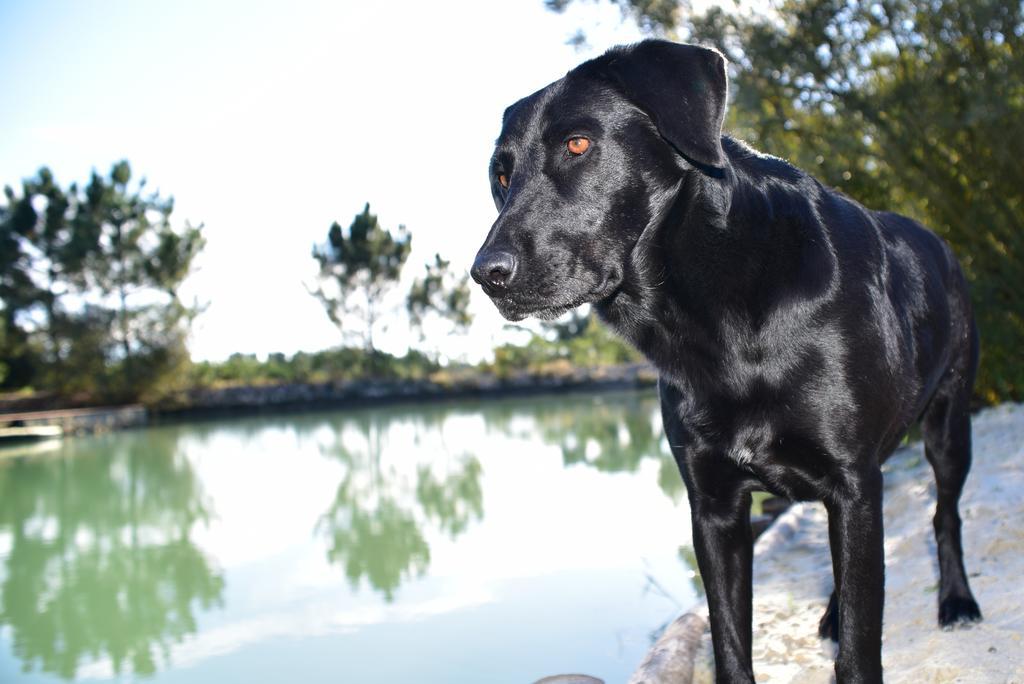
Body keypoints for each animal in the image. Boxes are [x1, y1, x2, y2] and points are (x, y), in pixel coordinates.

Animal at [471, 40, 983, 679]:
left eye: (578, 145)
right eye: (501, 175)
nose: (487, 274)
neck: (721, 321)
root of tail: (940, 242)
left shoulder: (853, 481)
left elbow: (861, 650)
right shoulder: (715, 507)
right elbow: (730, 644)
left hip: (949, 425)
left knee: (945, 515)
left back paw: (956, 601)